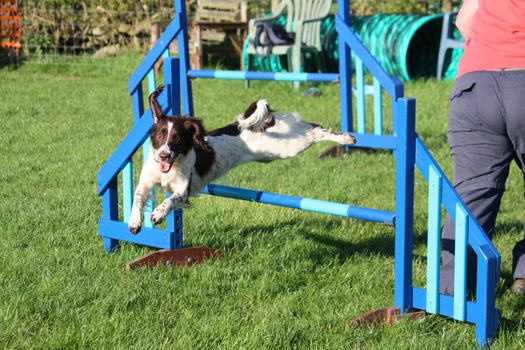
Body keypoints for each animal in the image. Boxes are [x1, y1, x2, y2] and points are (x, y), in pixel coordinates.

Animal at [128, 86, 356, 234]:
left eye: (176, 138)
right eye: (160, 136)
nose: (164, 155)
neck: (171, 167)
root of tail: (260, 124)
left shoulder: (183, 191)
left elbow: (170, 200)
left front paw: (157, 214)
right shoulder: (147, 181)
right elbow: (137, 198)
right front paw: (134, 223)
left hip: (287, 146)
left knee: (315, 130)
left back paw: (346, 138)